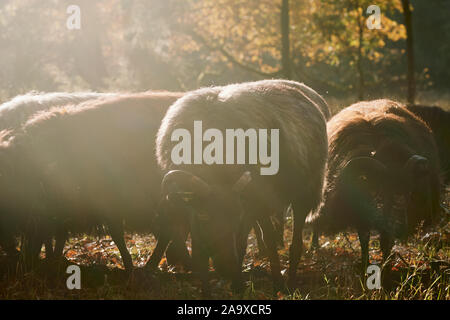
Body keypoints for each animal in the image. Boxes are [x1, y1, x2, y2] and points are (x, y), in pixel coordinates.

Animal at [156, 79, 328, 294]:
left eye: (235, 216)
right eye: (204, 215)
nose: (227, 267)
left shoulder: (254, 203)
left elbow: (253, 242)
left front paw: (251, 285)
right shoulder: (195, 214)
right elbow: (202, 255)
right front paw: (214, 289)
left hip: (304, 193)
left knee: (294, 244)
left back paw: (288, 284)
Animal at [308, 99, 442, 268]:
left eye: (410, 192)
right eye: (380, 190)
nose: (400, 228)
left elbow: (385, 242)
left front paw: (386, 265)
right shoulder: (360, 212)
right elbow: (364, 240)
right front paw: (365, 265)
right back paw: (314, 247)